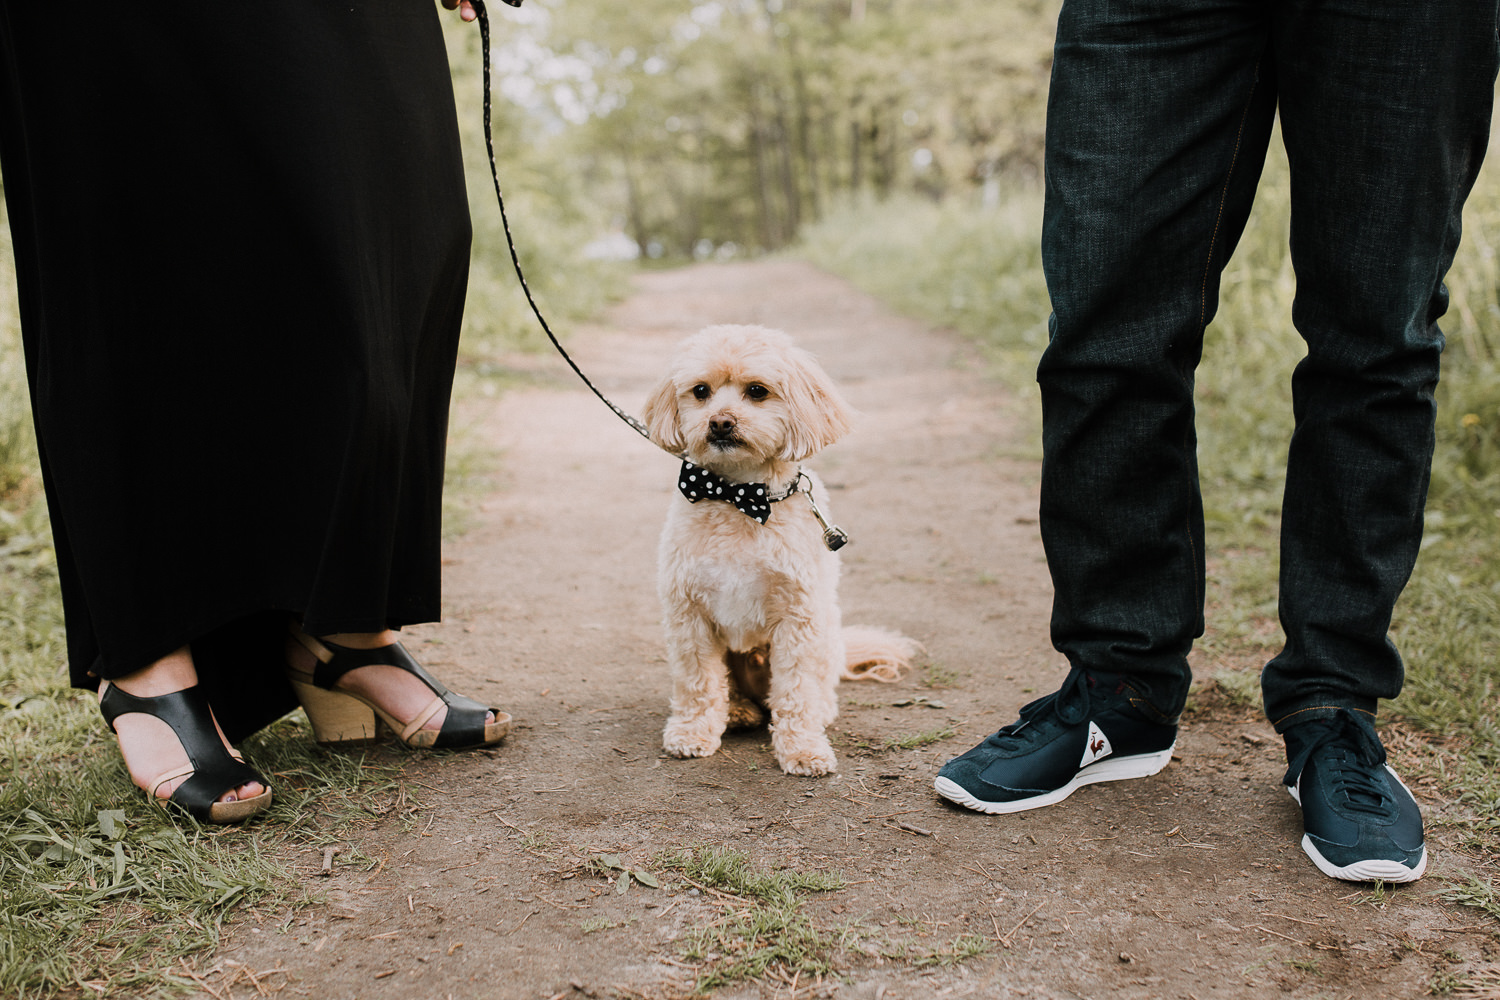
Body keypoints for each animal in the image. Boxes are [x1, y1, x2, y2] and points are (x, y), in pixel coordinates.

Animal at [642, 325, 918, 779]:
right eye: (700, 391)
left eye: (757, 390)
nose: (720, 422)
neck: (739, 498)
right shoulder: (690, 615)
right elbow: (699, 683)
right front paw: (692, 732)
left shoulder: (797, 620)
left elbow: (797, 691)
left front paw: (803, 749)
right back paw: (738, 711)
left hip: (825, 636)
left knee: (814, 692)